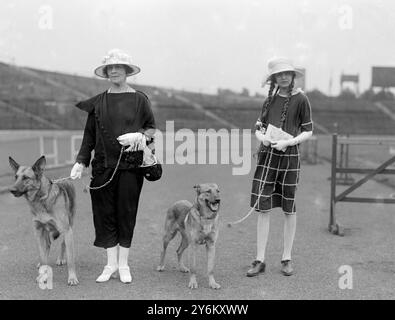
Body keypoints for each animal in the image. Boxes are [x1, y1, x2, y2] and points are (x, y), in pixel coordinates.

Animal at [8, 155, 79, 284]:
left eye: (26, 178)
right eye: (16, 177)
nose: (11, 190)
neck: (41, 199)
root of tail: (63, 179)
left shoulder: (67, 231)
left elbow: (71, 259)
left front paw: (72, 278)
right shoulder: (39, 232)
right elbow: (42, 255)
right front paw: (43, 273)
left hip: (69, 225)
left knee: (63, 244)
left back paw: (61, 259)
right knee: (47, 246)